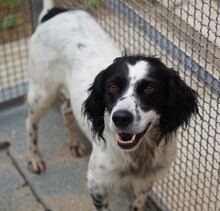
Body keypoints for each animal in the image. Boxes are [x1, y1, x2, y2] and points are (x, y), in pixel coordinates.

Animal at [25, 1, 199, 209]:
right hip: (42, 92)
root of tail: (53, 12)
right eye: (112, 86)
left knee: (65, 109)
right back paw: (34, 158)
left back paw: (74, 143)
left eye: (150, 88)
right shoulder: (96, 183)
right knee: (30, 123)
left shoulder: (145, 183)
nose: (121, 118)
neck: (138, 154)